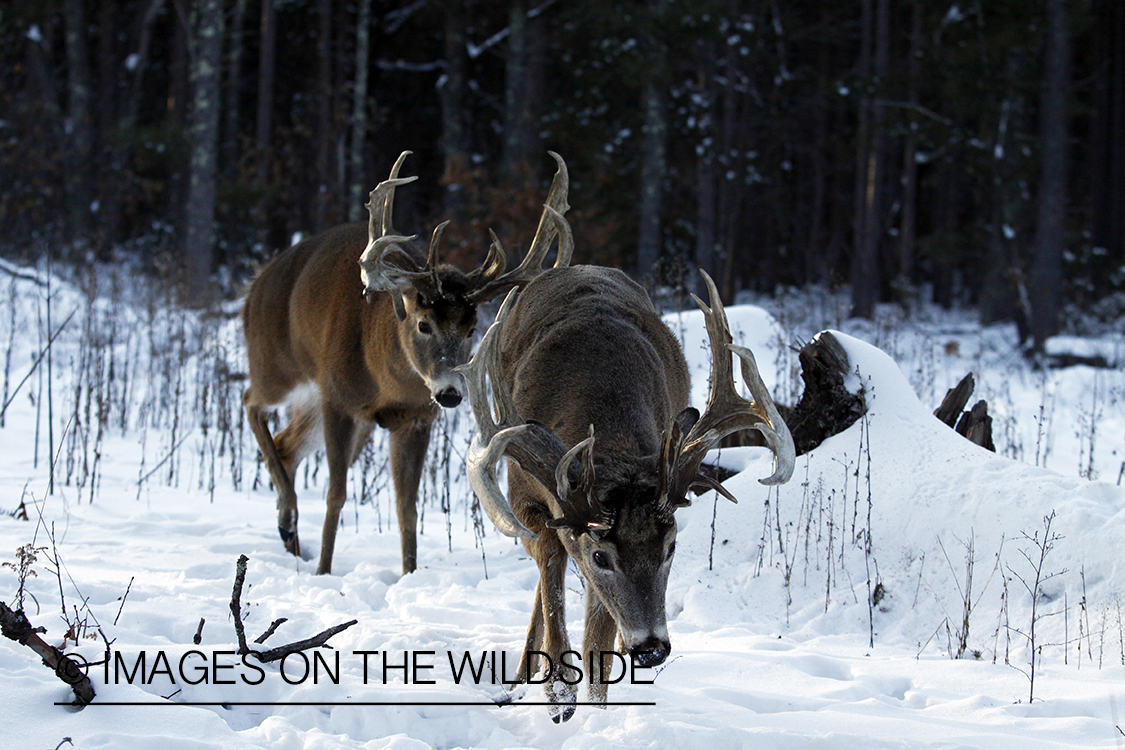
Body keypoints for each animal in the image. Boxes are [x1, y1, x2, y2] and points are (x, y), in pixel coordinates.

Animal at [239, 152, 571, 575]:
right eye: (423, 323)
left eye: (472, 327)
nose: (449, 393)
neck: (385, 378)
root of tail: (255, 285)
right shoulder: (338, 401)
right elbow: (336, 494)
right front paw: (324, 571)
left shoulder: (413, 419)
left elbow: (406, 506)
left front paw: (409, 573)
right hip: (277, 366)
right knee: (251, 401)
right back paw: (291, 520)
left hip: (329, 409)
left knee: (286, 444)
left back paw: (290, 535)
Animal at [454, 224, 792, 719]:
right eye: (601, 556)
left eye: (671, 547)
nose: (651, 648)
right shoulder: (527, 496)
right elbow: (552, 564)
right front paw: (558, 693)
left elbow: (599, 637)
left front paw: (594, 709)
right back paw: (523, 677)